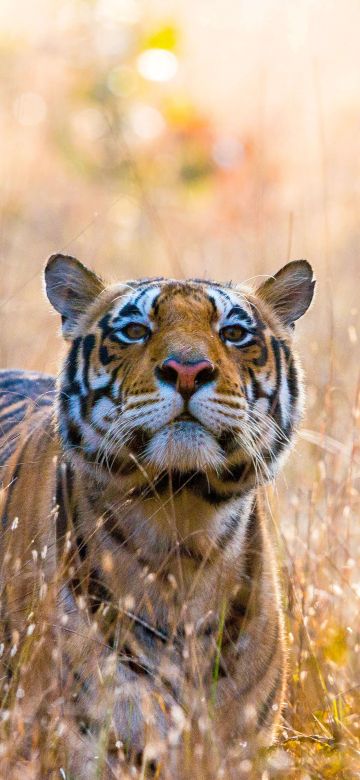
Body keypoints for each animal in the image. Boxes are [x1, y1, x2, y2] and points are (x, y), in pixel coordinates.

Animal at [0, 256, 316, 780]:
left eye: (233, 333)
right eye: (134, 330)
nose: (187, 370)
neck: (181, 529)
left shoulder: (239, 747)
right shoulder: (86, 741)